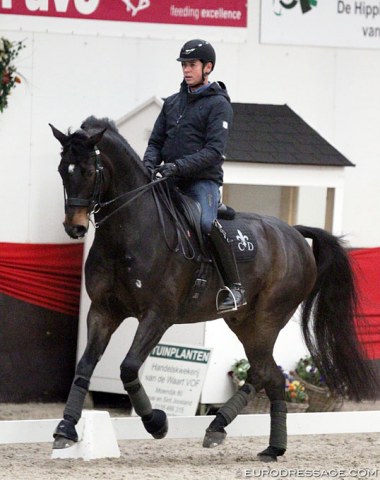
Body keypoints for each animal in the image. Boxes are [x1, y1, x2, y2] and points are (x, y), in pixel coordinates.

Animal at [49, 115, 378, 462]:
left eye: (88, 171)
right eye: (62, 170)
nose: (75, 227)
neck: (130, 233)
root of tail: (295, 234)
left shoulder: (158, 315)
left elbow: (128, 368)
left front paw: (157, 423)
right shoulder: (103, 311)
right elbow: (84, 367)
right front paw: (65, 430)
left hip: (267, 319)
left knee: (264, 372)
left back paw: (224, 429)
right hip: (242, 321)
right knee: (269, 375)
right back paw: (266, 445)